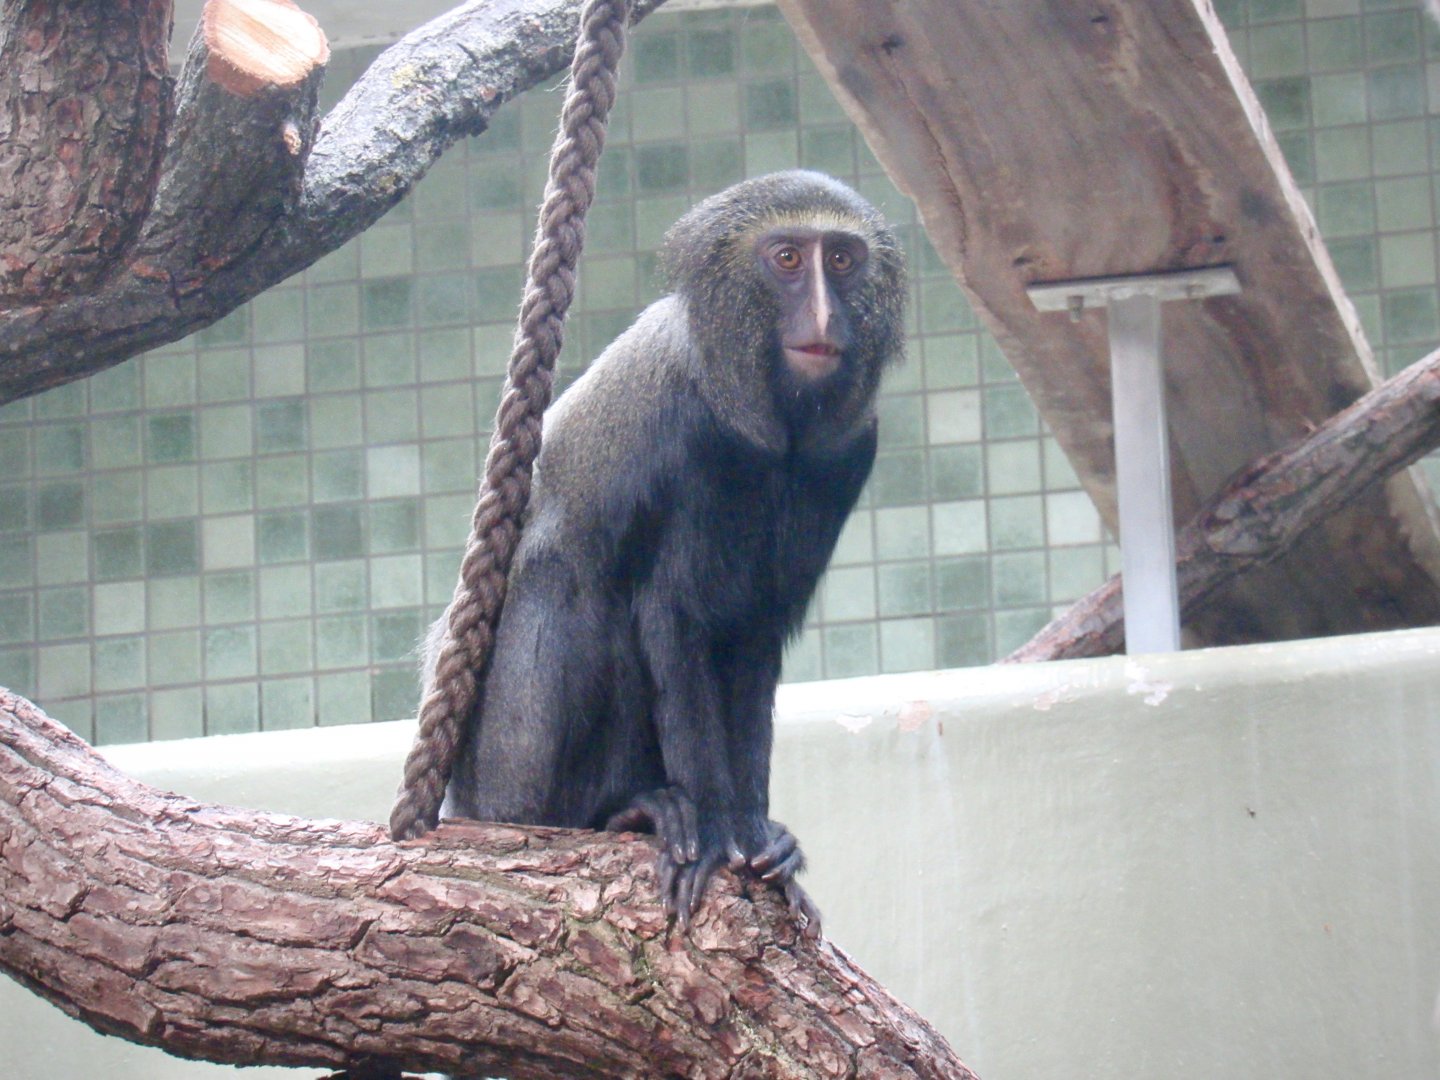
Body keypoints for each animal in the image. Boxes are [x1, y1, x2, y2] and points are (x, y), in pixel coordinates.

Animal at [435, 169, 906, 934]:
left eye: (840, 260)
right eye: (786, 259)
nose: (824, 319)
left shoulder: (851, 449)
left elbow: (752, 637)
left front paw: (756, 832)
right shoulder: (684, 428)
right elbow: (672, 617)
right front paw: (715, 832)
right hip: (505, 771)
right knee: (570, 579)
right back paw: (617, 810)